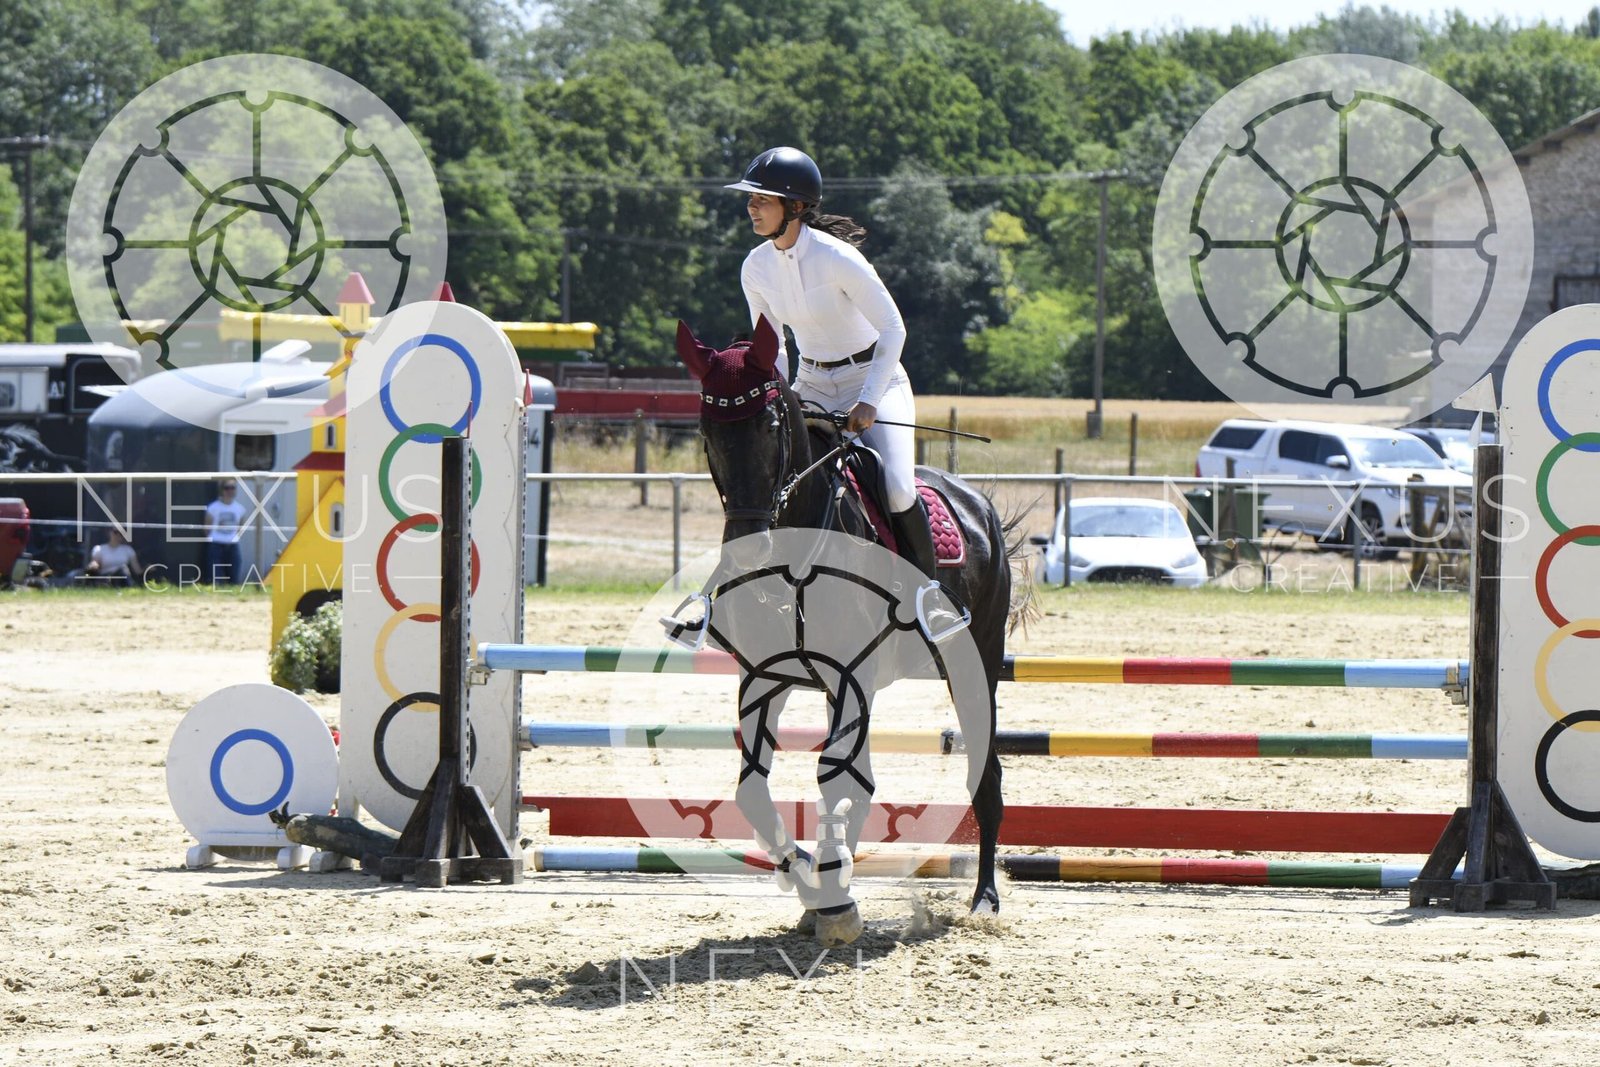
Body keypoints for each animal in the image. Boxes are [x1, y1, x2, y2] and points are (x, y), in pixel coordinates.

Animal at [673, 316, 1024, 946]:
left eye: (770, 426)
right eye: (708, 429)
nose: (747, 550)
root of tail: (975, 502)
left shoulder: (850, 677)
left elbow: (833, 782)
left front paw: (833, 901)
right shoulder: (765, 678)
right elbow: (755, 790)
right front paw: (809, 881)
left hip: (975, 664)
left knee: (983, 776)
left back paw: (984, 899)